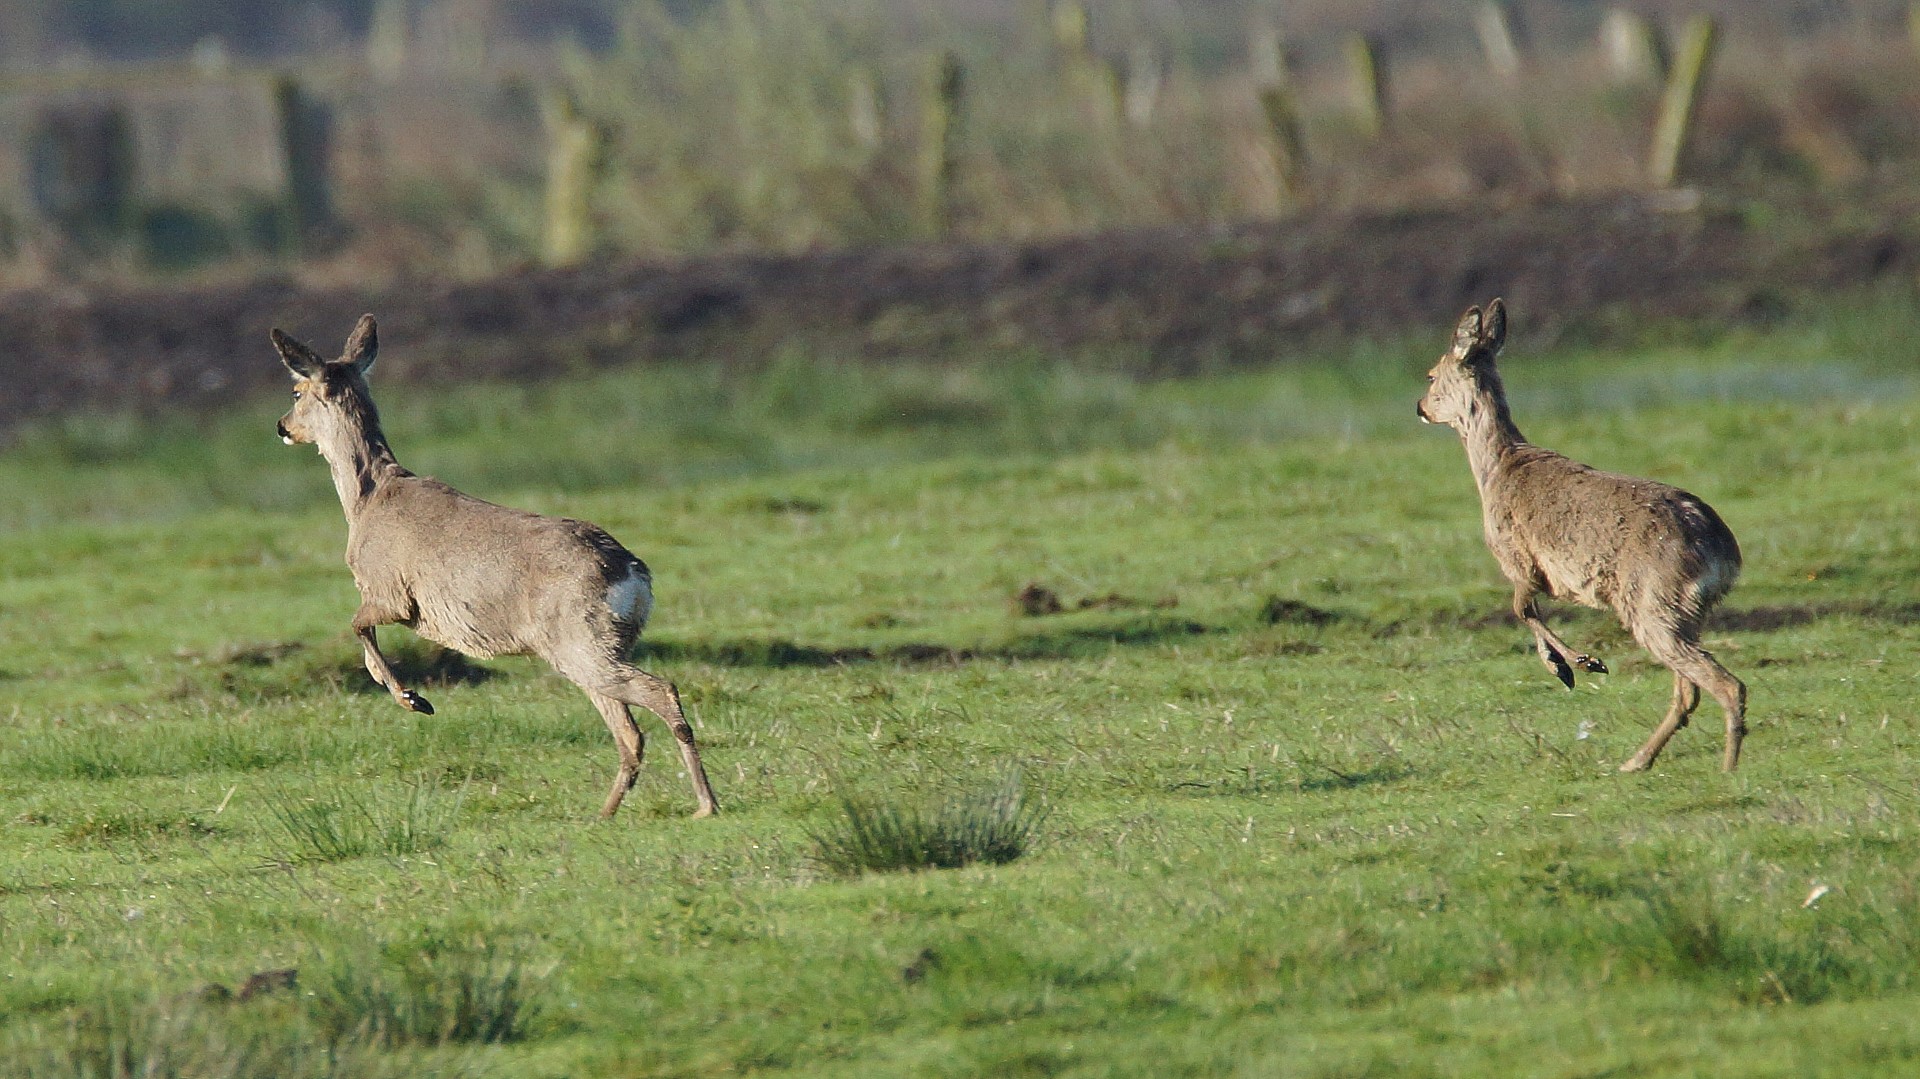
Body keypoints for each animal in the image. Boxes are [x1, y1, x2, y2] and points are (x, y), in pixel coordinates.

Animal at [271, 315, 718, 819]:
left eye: (295, 391)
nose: (282, 426)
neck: (367, 501)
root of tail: (633, 574)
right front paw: (411, 696)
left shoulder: (392, 593)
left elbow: (357, 627)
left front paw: (414, 699)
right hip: (597, 647)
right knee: (630, 732)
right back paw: (604, 813)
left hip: (578, 642)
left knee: (660, 694)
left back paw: (705, 805)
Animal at [1417, 299, 1748, 773]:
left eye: (1430, 375)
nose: (1420, 407)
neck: (1497, 468)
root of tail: (1724, 553)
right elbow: (1527, 612)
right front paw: (1571, 666)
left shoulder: (1518, 558)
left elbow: (1521, 609)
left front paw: (1577, 664)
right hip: (1682, 613)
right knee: (1689, 691)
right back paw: (1636, 762)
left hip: (1653, 602)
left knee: (1723, 684)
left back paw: (1726, 769)